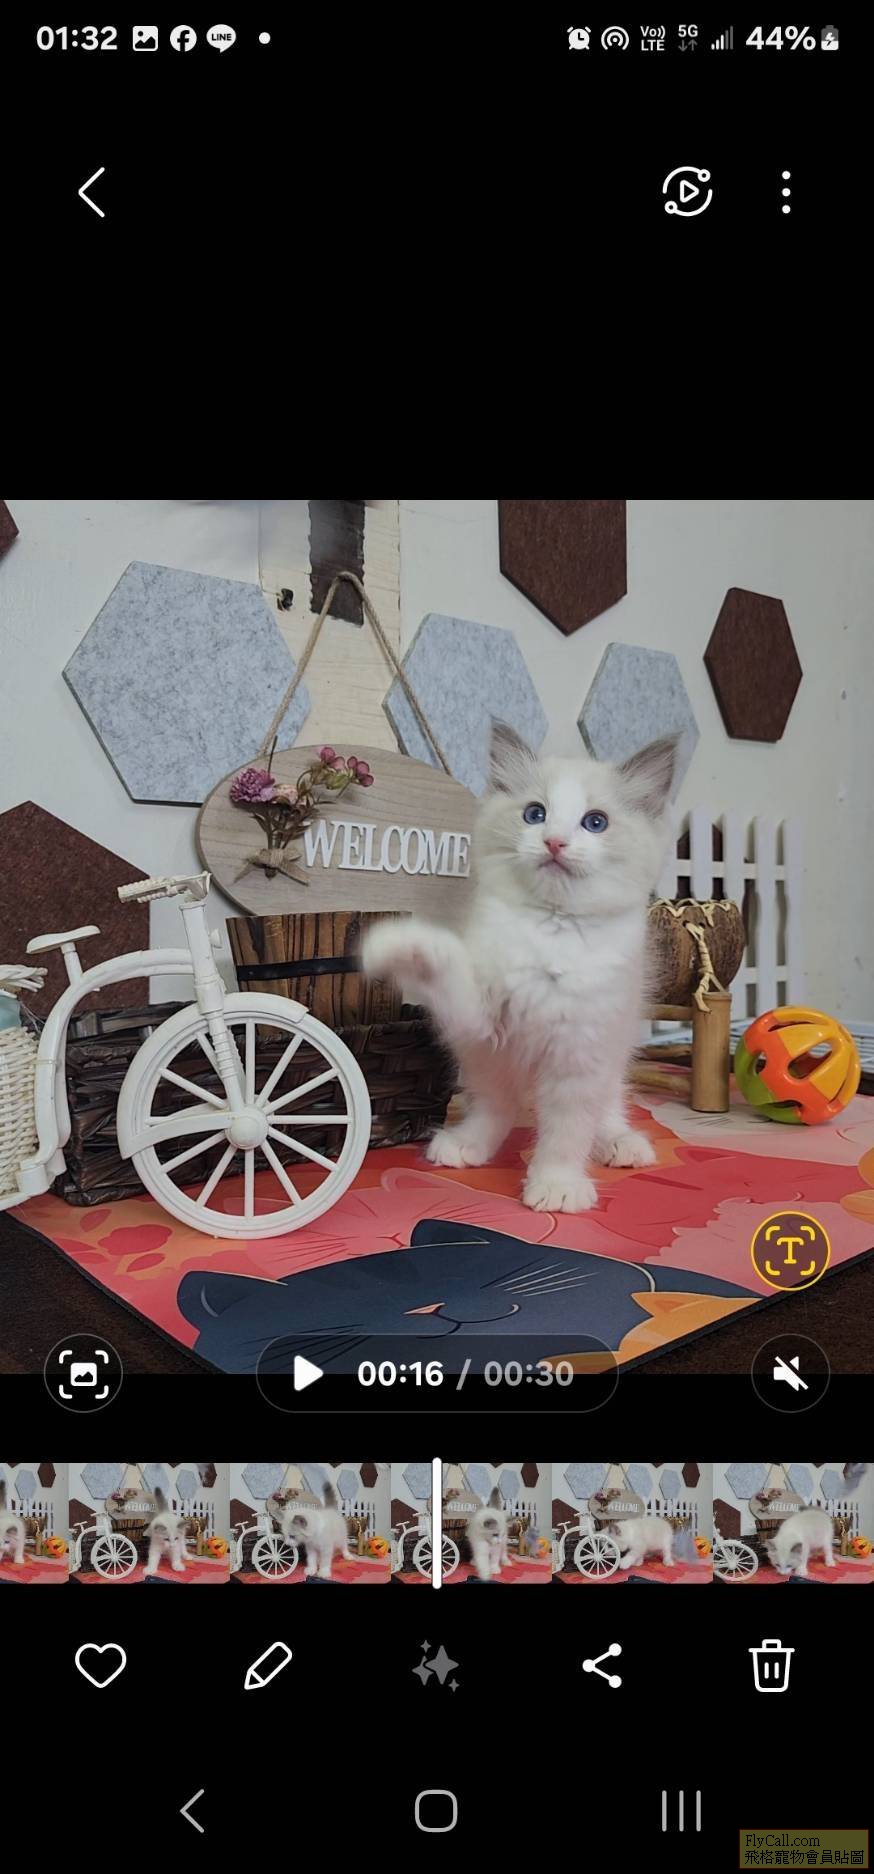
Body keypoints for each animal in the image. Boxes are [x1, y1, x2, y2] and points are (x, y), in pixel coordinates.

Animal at [362, 724, 676, 1213]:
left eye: (595, 822)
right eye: (535, 814)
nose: (554, 842)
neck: (550, 928)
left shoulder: (579, 1052)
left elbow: (567, 1132)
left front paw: (557, 1184)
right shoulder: (480, 1020)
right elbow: (446, 963)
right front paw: (394, 942)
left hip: (614, 1047)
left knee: (606, 1104)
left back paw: (620, 1142)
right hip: (485, 1060)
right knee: (498, 1107)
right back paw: (466, 1143)